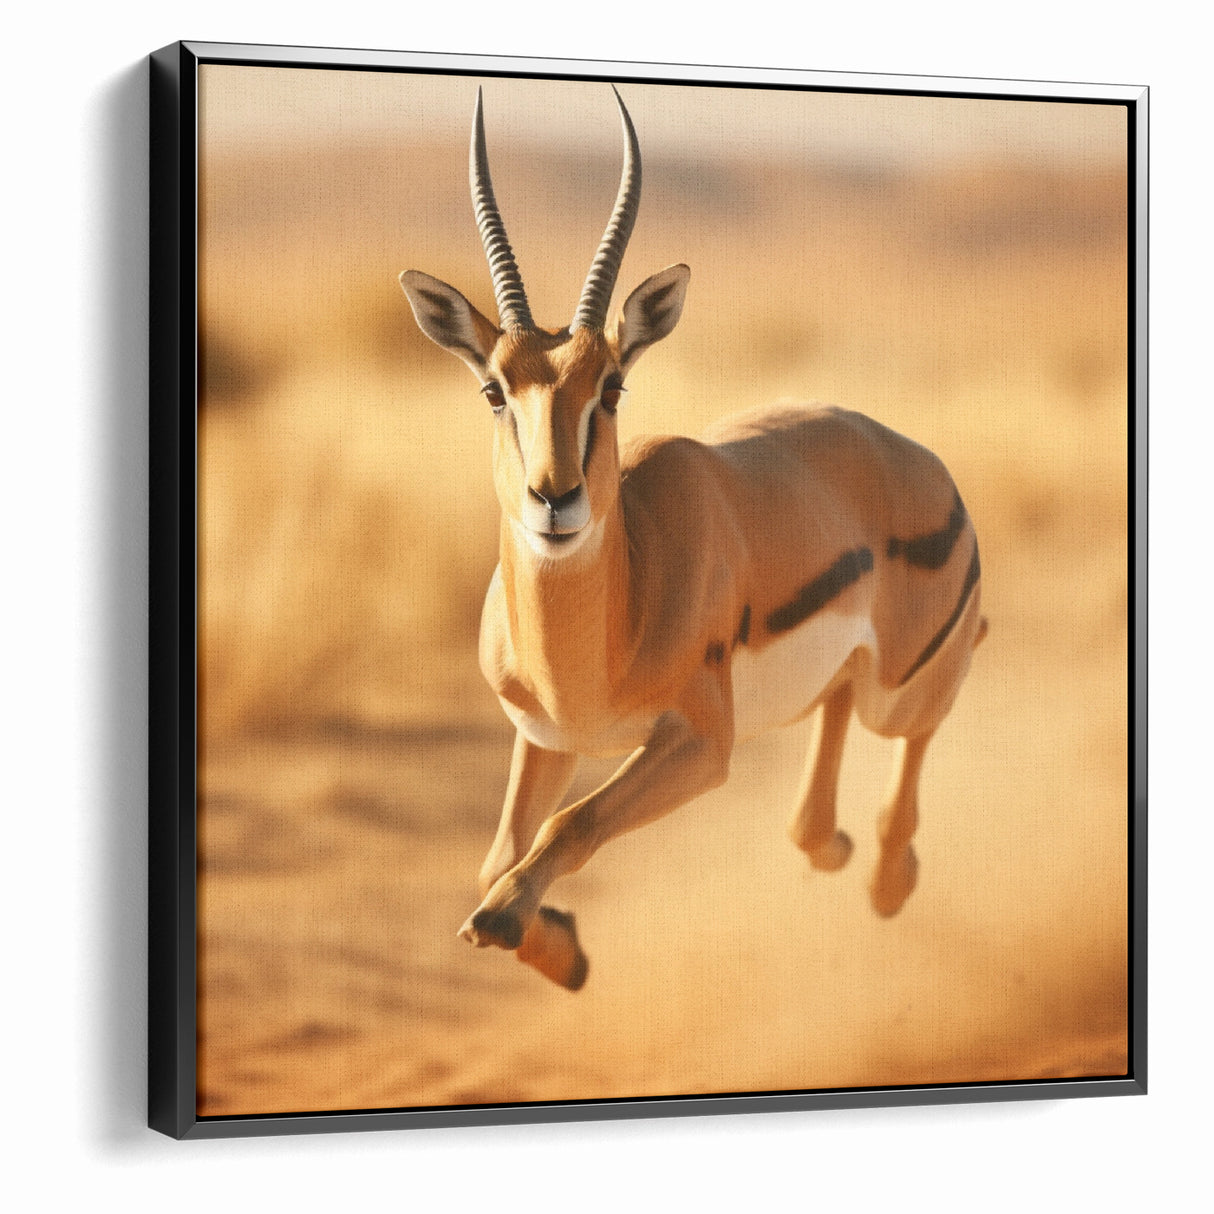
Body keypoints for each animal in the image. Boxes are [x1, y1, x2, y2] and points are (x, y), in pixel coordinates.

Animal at [399, 86, 986, 991]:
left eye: (611, 385)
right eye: (495, 389)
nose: (555, 499)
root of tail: (917, 458)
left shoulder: (702, 744)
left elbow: (567, 828)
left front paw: (512, 923)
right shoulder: (546, 740)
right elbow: (498, 854)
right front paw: (563, 950)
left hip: (900, 691)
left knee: (925, 704)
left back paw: (888, 879)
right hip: (848, 685)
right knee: (828, 744)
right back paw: (836, 848)